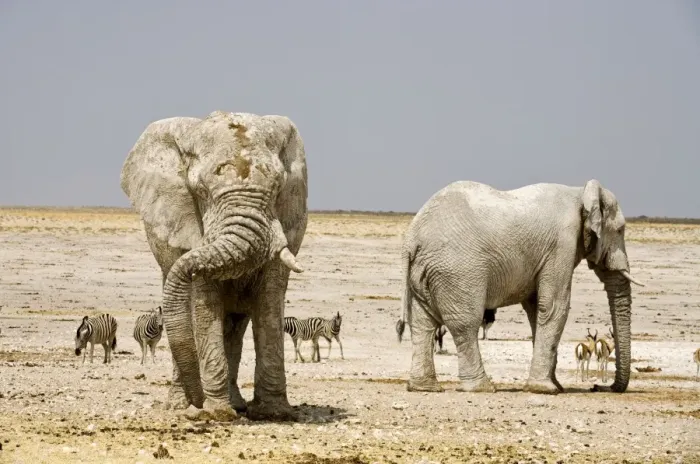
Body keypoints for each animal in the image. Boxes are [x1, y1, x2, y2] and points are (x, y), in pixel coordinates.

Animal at [120, 110, 308, 421]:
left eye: (278, 187)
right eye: (201, 190)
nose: (197, 407)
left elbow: (270, 301)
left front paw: (274, 414)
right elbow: (204, 304)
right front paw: (217, 413)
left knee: (233, 326)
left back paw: (234, 404)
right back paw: (181, 405)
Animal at [396, 179, 644, 395]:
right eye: (620, 230)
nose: (597, 387)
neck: (579, 192)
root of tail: (412, 239)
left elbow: (536, 310)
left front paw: (555, 385)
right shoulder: (561, 245)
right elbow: (554, 308)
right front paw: (546, 389)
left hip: (424, 272)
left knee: (423, 324)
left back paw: (424, 387)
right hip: (457, 271)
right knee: (466, 324)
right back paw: (482, 388)